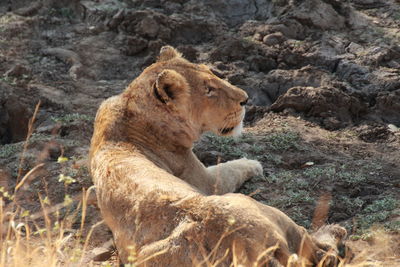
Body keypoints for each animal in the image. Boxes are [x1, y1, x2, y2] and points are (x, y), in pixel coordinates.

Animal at [89, 47, 346, 266]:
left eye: (213, 74)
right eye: (208, 90)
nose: (245, 99)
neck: (130, 107)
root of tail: (250, 245)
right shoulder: (206, 180)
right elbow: (230, 169)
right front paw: (252, 162)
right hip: (262, 208)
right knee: (320, 250)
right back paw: (334, 230)